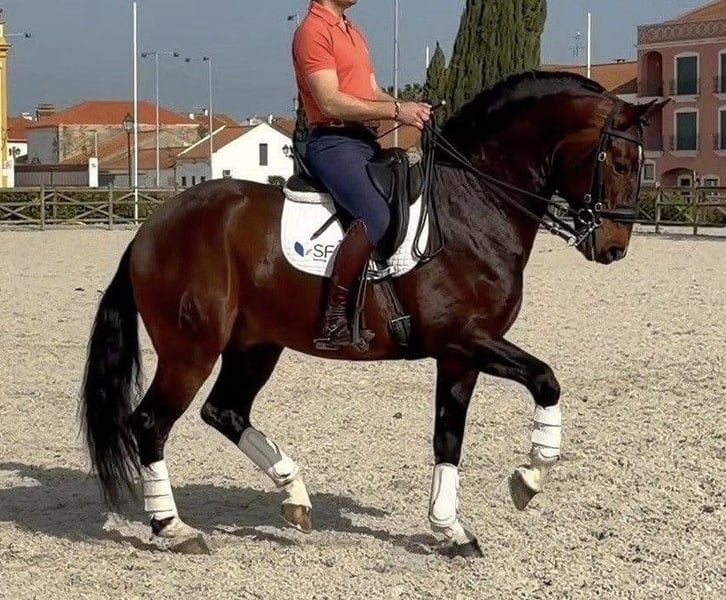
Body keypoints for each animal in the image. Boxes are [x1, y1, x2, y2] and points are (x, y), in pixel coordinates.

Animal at [80, 71, 668, 557]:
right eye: (618, 163)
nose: (614, 247)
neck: (474, 205)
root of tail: (152, 228)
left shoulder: (460, 355)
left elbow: (448, 437)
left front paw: (450, 529)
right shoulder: (466, 338)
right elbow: (546, 380)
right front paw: (529, 477)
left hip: (255, 345)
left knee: (224, 412)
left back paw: (295, 497)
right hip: (192, 349)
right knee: (150, 424)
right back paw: (174, 528)